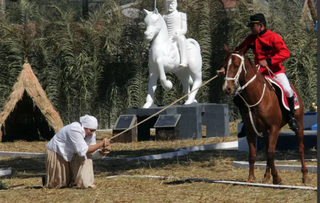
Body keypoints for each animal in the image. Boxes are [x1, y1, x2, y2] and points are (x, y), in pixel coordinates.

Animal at [222, 45, 310, 185]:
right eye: (225, 66)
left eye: (236, 66)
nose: (227, 88)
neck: (256, 97)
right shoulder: (250, 130)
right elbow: (253, 155)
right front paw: (251, 178)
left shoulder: (273, 128)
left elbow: (270, 153)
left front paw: (277, 178)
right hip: (265, 133)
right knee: (267, 150)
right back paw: (267, 176)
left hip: (299, 125)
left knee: (300, 147)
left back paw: (305, 175)